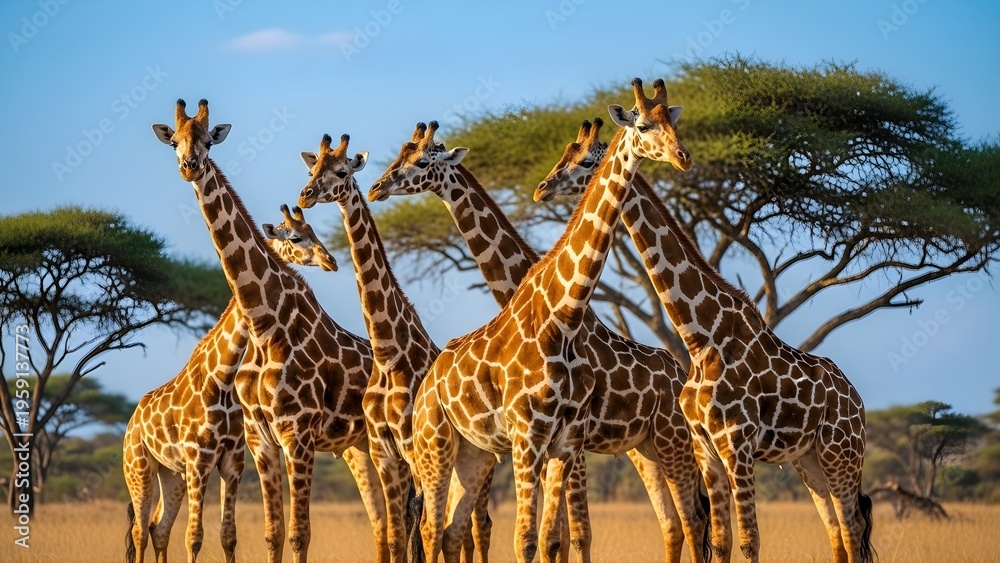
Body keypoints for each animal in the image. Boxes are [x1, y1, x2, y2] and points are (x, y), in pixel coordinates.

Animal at [123, 204, 337, 563]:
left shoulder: (231, 461)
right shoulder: (199, 459)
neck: (221, 380)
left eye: (314, 232)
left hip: (171, 474)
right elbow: (194, 537)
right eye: (295, 236)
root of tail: (131, 420)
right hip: (139, 467)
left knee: (158, 528)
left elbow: (227, 536)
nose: (330, 260)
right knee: (140, 529)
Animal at [151, 99, 385, 563]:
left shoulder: (298, 435)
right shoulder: (261, 441)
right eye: (175, 141)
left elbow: (300, 534)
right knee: (388, 522)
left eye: (208, 141)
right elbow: (273, 534)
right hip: (360, 447)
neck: (264, 324)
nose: (190, 166)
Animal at [295, 132, 492, 562]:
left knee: (476, 525)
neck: (388, 353)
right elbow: (395, 533)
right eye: (312, 168)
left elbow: (415, 526)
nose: (305, 195)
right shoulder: (383, 451)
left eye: (341, 171)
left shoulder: (411, 449)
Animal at [369, 120, 708, 563]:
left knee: (696, 518)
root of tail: (681, 373)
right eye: (402, 155)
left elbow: (570, 534)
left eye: (423, 161)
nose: (377, 187)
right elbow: (556, 534)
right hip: (643, 448)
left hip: (672, 440)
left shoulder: (570, 442)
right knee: (676, 522)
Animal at [534, 114, 875, 563]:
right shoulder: (706, 446)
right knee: (837, 529)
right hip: (810, 460)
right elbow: (723, 539)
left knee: (853, 527)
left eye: (587, 160)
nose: (542, 187)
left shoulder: (737, 446)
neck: (703, 337)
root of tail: (858, 401)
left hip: (841, 454)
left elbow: (748, 541)